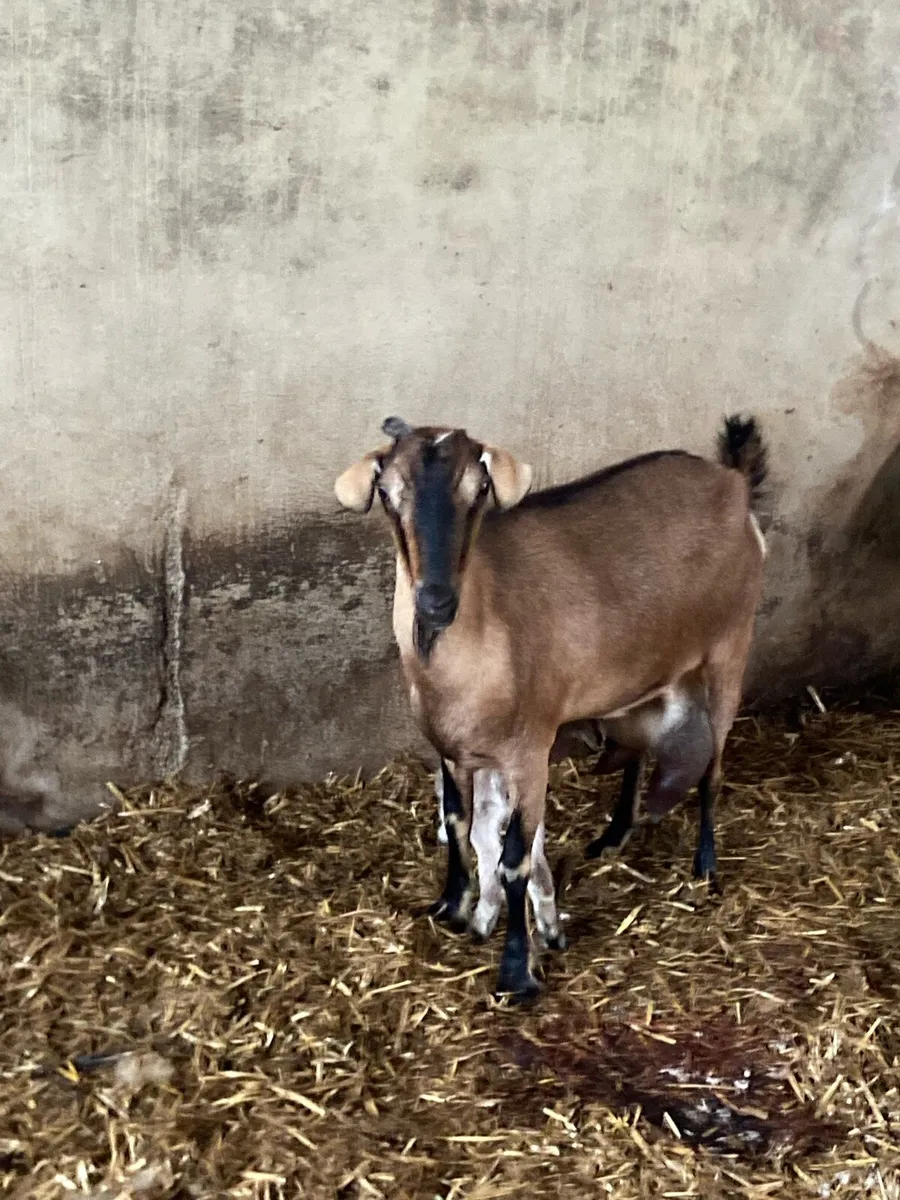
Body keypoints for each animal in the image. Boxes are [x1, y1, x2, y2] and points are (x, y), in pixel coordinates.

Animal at [335, 415, 768, 1000]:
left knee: (715, 766)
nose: (435, 601)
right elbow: (457, 823)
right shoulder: (450, 751)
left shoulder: (529, 754)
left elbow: (515, 859)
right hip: (643, 676)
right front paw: (453, 906)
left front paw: (517, 970)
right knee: (637, 749)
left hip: (730, 646)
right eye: (387, 493)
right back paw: (612, 836)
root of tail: (732, 482)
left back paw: (705, 865)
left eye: (478, 490)